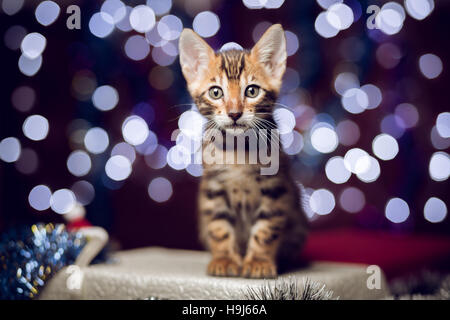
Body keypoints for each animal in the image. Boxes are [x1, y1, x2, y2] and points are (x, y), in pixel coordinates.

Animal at [179, 24, 310, 278]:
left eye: (251, 91)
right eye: (216, 92)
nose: (234, 113)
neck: (238, 149)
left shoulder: (275, 187)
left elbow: (266, 228)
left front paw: (259, 261)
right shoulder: (213, 187)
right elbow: (219, 227)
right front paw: (224, 259)